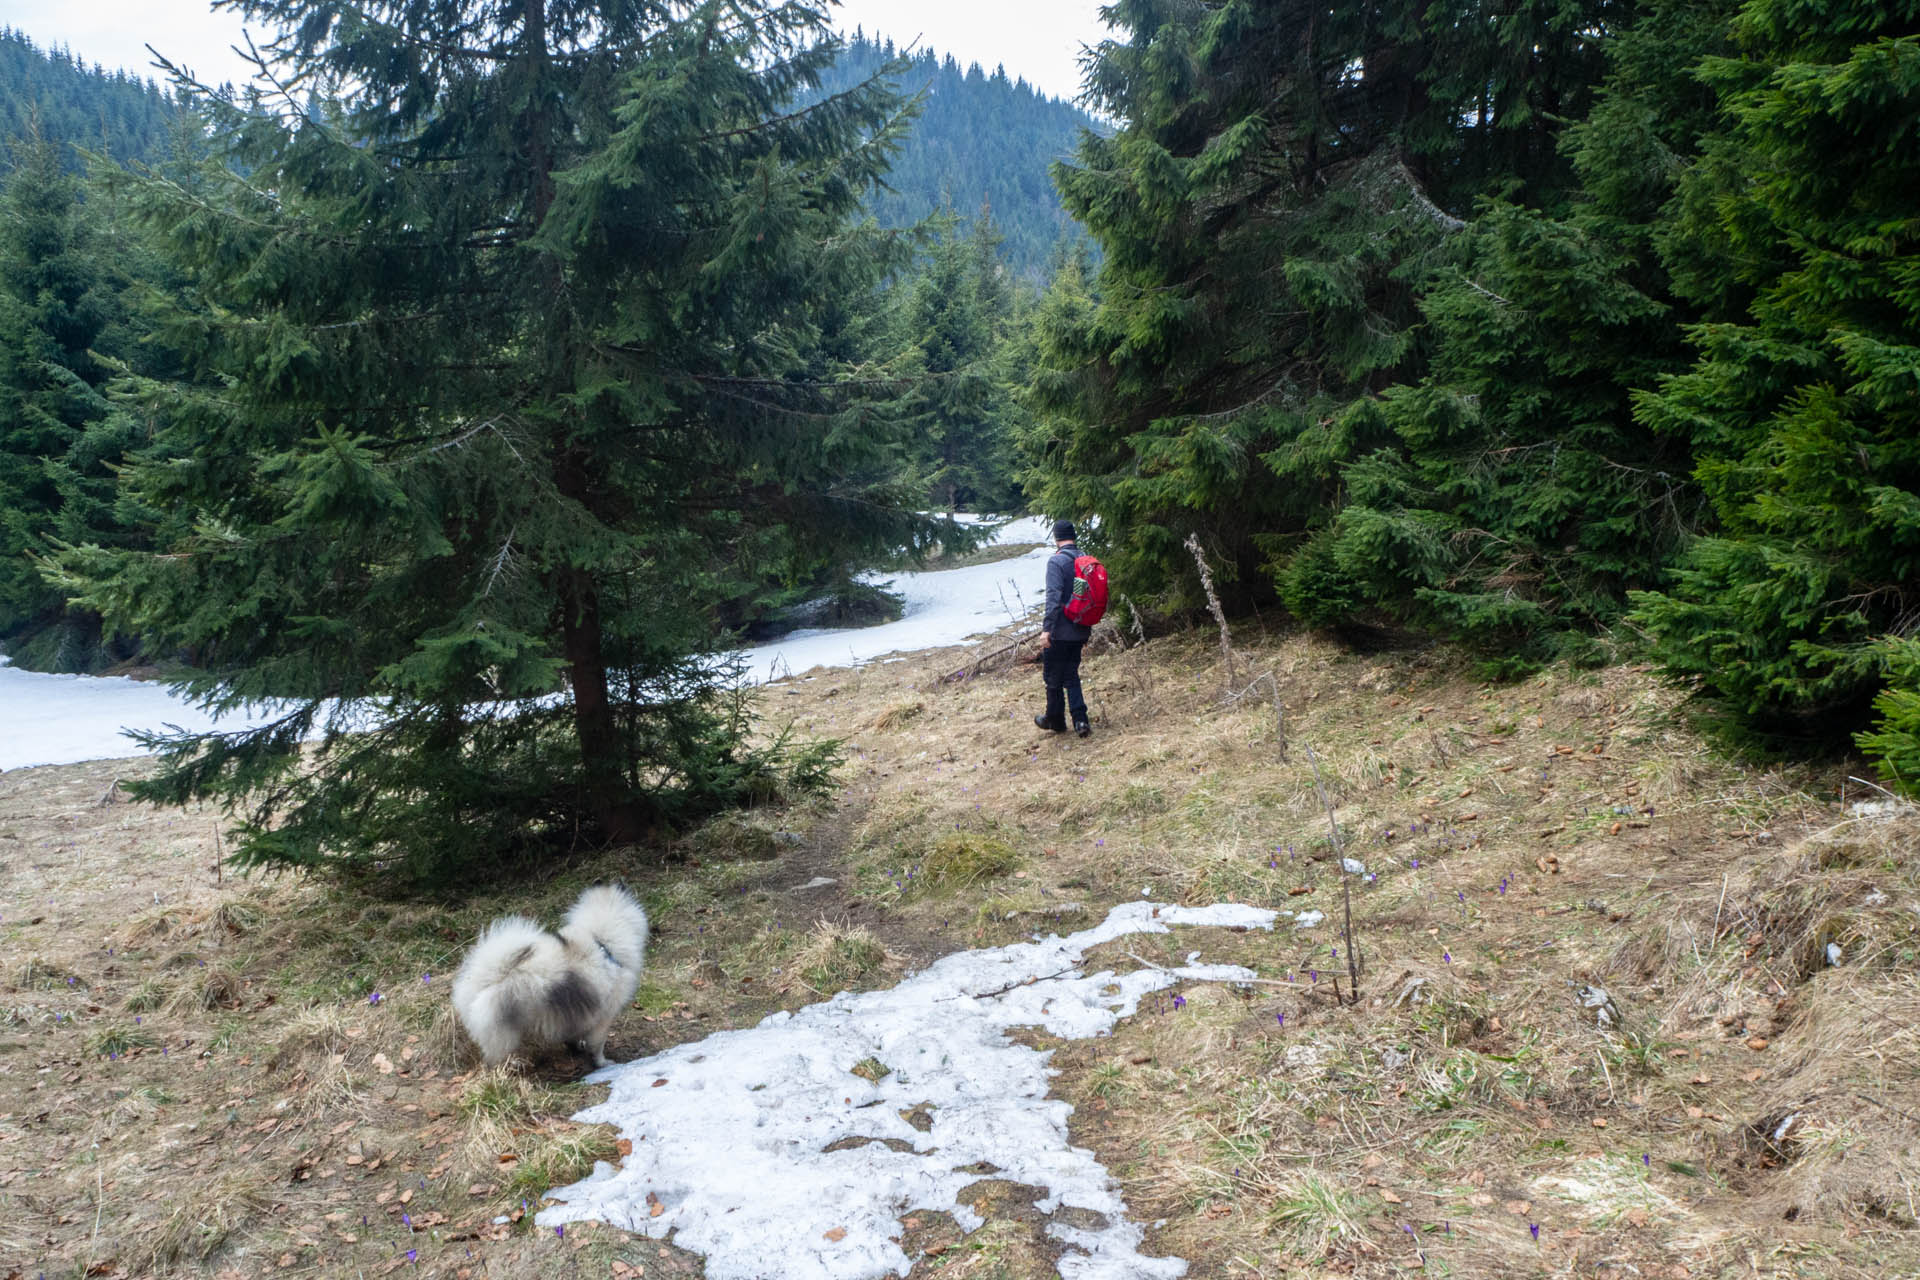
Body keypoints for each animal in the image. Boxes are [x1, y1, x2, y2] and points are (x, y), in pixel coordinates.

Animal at [451, 886, 652, 1066]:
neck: (602, 941)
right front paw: (602, 1063)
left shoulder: (576, 1014)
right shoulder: (604, 1017)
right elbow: (597, 1045)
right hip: (505, 1030)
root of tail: (486, 979)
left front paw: (576, 1049)